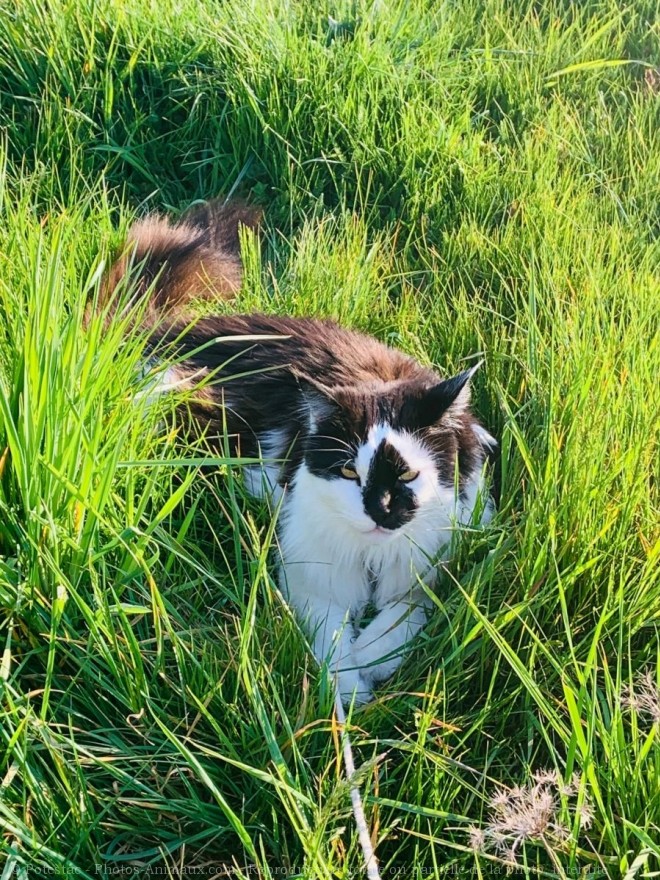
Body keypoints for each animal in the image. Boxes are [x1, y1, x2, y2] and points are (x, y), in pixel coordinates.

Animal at [99, 198, 496, 700]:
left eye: (407, 475)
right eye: (349, 473)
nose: (380, 512)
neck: (371, 557)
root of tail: (160, 331)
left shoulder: (436, 563)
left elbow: (405, 615)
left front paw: (372, 658)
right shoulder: (312, 577)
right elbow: (333, 639)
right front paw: (349, 688)